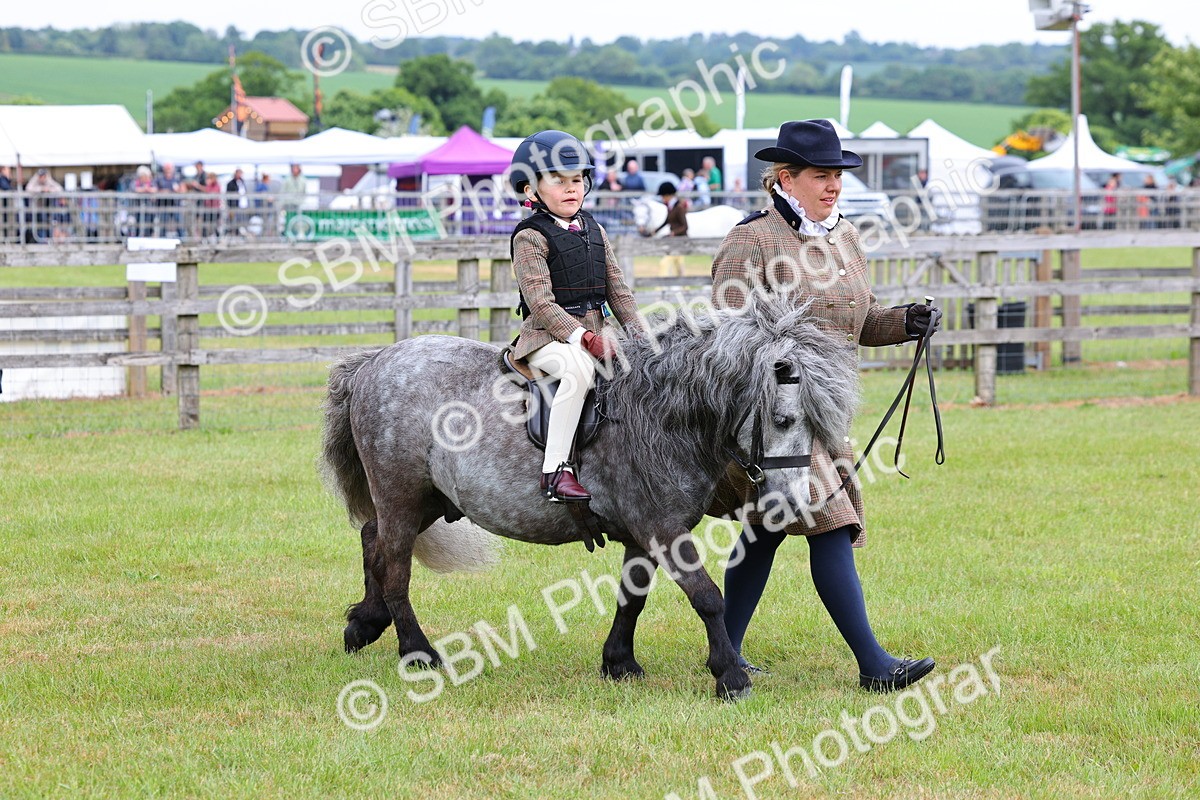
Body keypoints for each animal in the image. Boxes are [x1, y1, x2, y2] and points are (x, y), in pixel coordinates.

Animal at [321, 293, 859, 699]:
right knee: (394, 565)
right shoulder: (663, 530)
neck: (661, 413)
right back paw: (417, 651)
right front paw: (730, 676)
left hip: (429, 500)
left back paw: (364, 624)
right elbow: (708, 598)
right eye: (785, 420)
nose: (796, 503)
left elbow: (632, 598)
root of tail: (373, 361)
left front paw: (619, 663)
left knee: (372, 540)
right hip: (401, 493)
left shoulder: (644, 536)